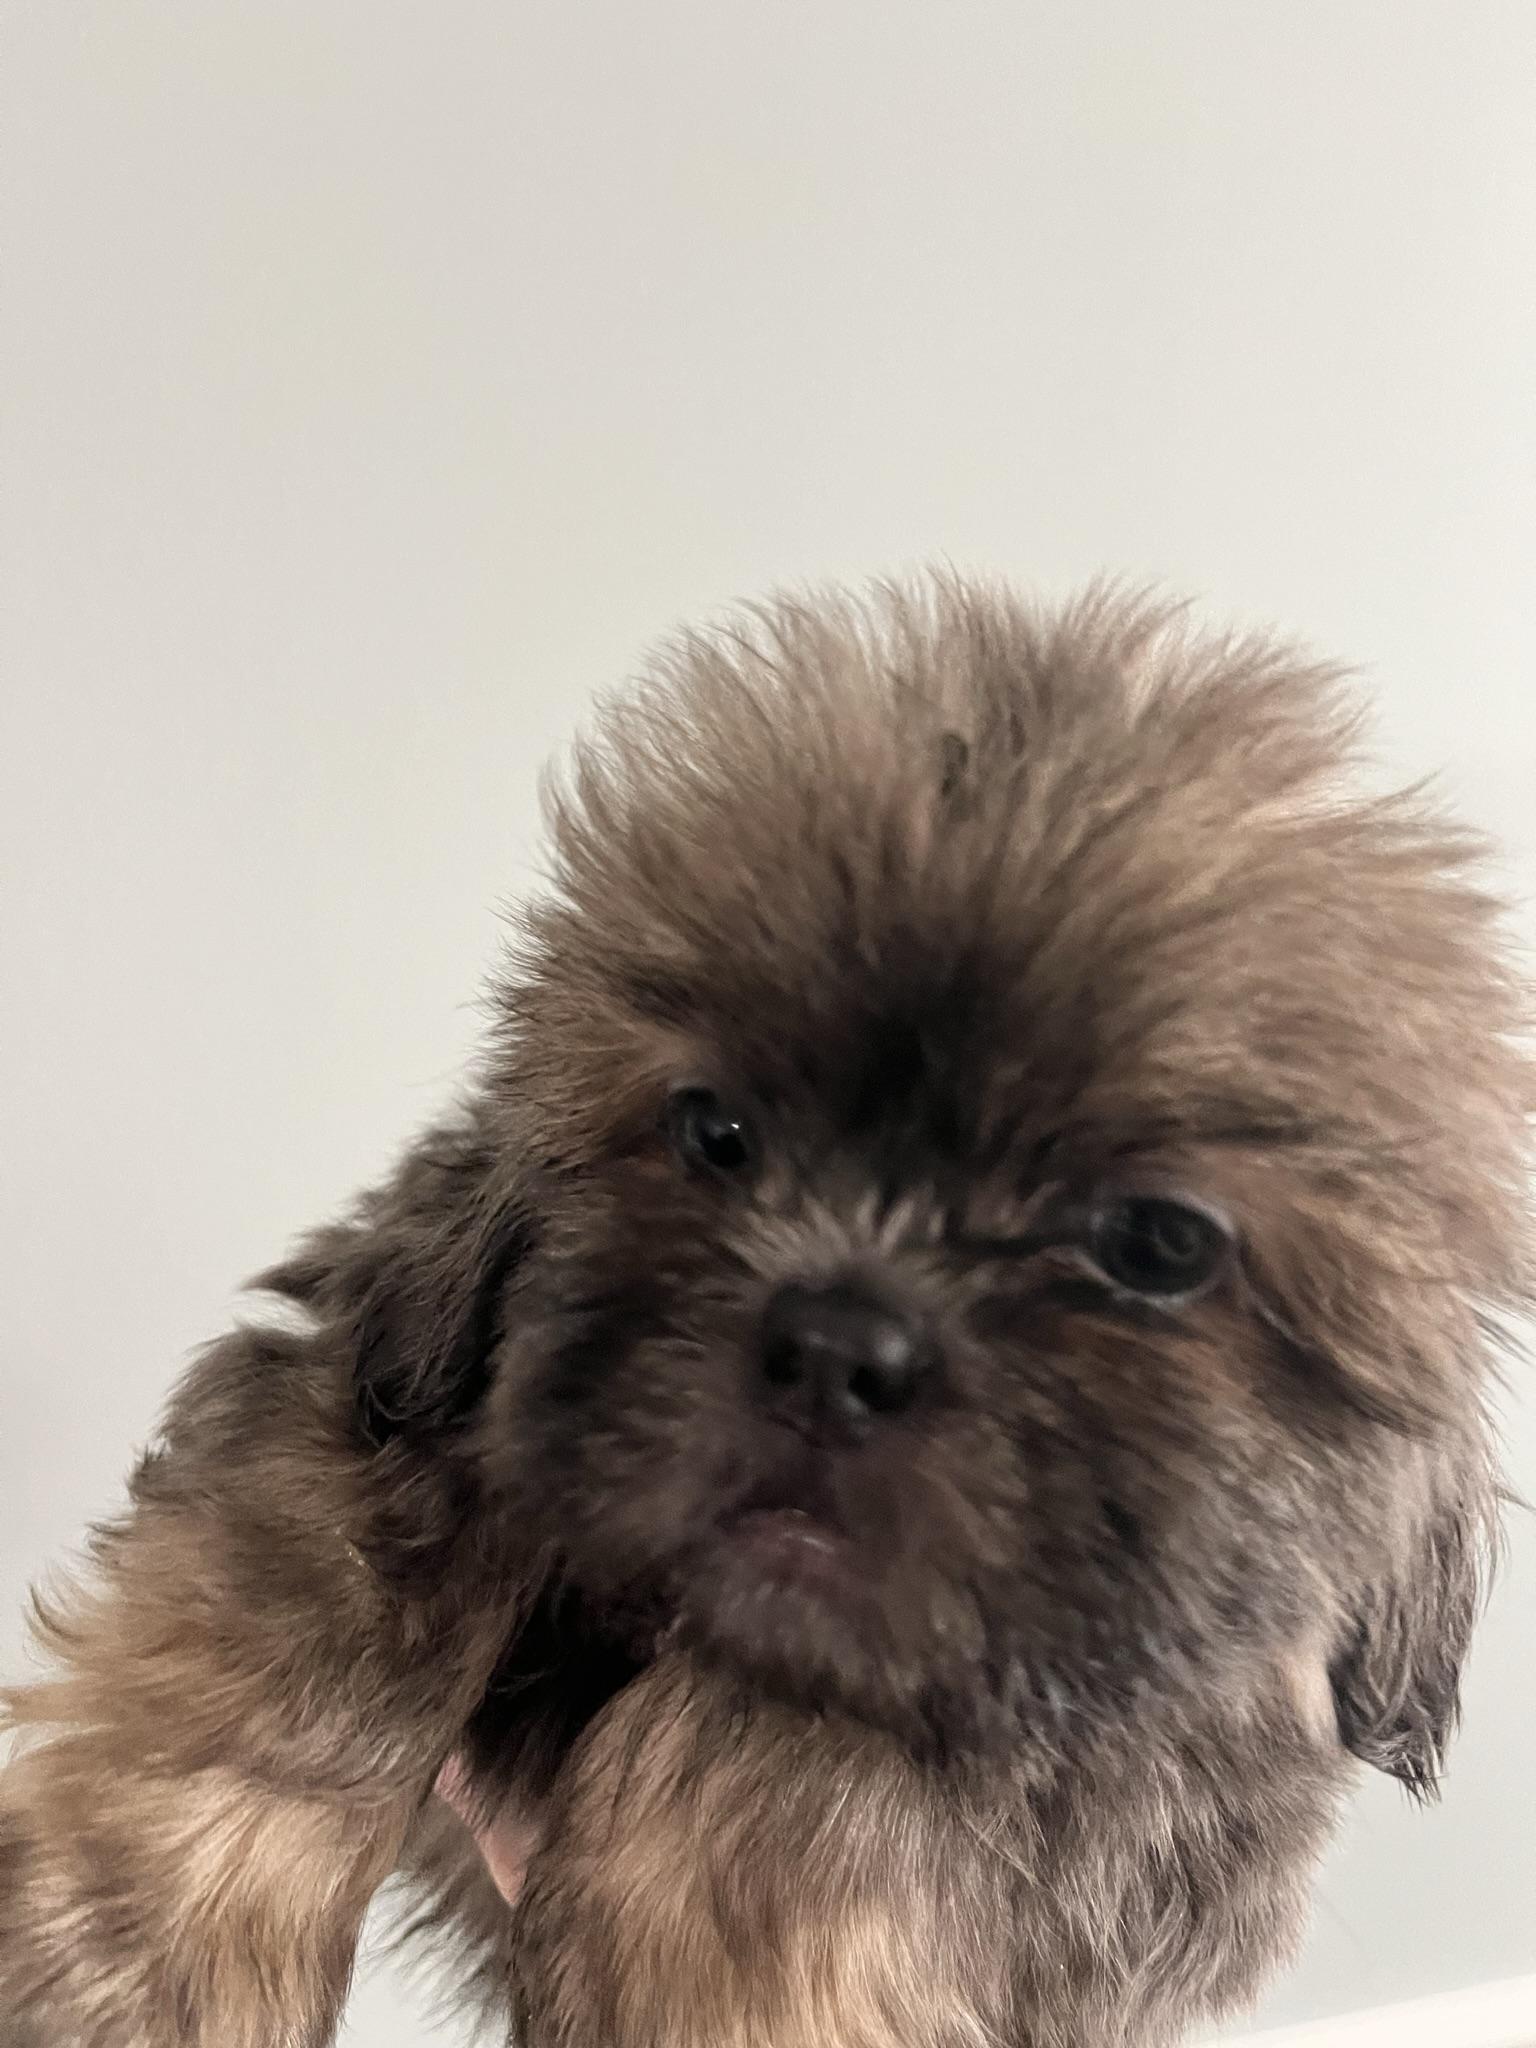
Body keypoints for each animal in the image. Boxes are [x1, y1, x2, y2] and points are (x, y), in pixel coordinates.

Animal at [2, 577, 1529, 2048]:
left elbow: (827, 1761)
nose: (836, 1348)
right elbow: (307, 1623)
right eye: (715, 1131)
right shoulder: (385, 1367)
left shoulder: (1154, 1764)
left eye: (1157, 1244)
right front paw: (126, 1961)